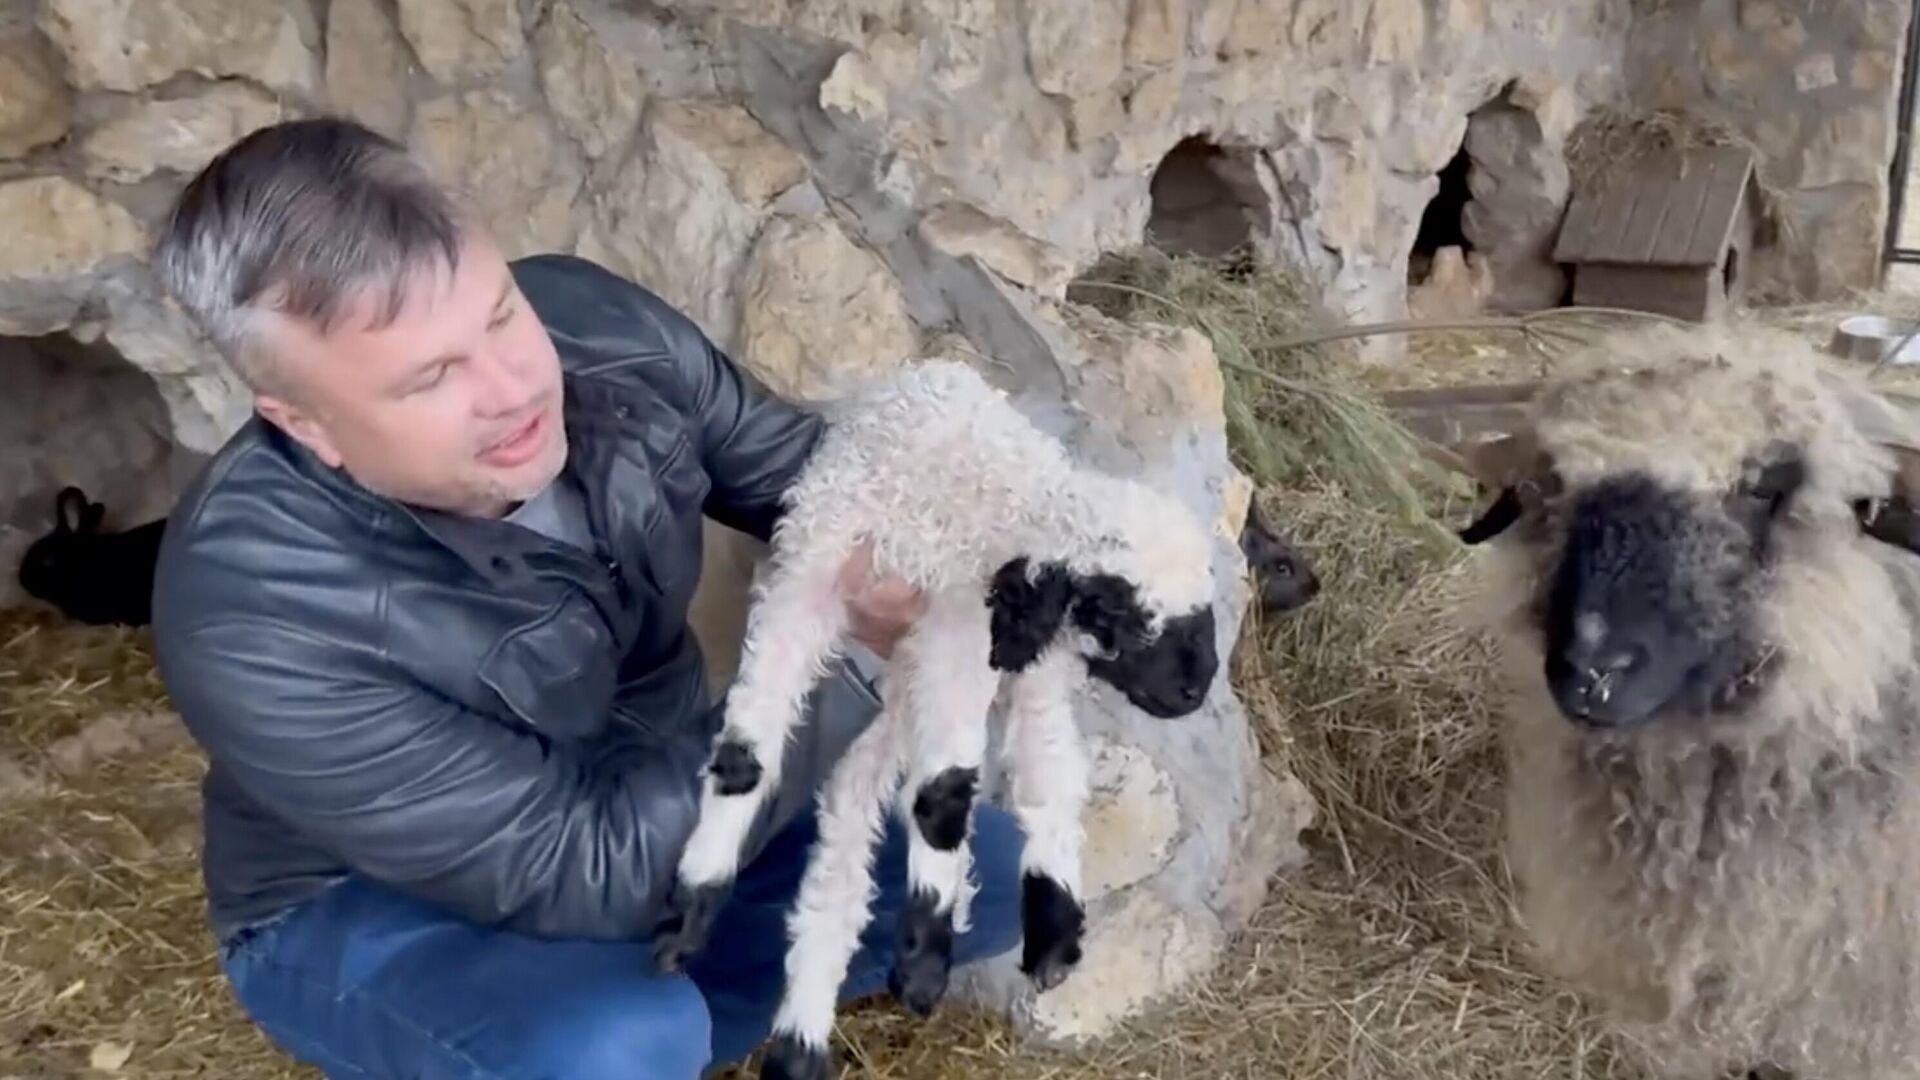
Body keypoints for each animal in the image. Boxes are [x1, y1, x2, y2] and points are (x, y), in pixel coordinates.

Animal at [652, 355, 1236, 1076]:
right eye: (1122, 612)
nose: (1195, 689)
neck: (1015, 508)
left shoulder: (1022, 666)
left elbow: (1051, 780)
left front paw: (1053, 933)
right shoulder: (957, 632)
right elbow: (945, 792)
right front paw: (928, 966)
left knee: (832, 876)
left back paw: (798, 1042)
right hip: (816, 586)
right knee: (753, 752)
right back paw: (702, 912)